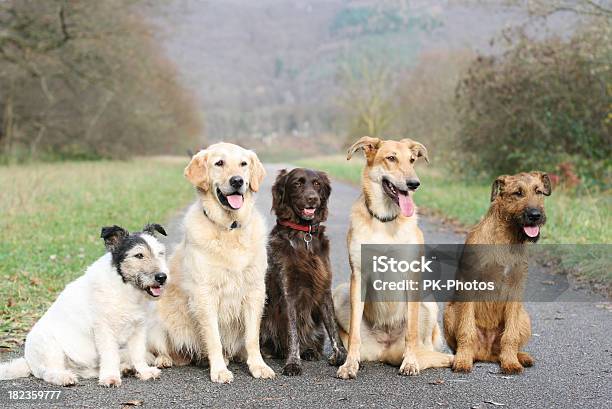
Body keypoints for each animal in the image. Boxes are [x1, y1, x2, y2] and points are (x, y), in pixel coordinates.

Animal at [147, 143, 274, 382]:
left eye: (243, 164)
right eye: (219, 163)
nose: (237, 181)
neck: (229, 228)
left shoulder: (254, 291)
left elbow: (252, 337)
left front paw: (258, 366)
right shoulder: (205, 294)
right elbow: (214, 338)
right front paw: (219, 371)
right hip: (158, 321)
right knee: (158, 349)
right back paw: (166, 359)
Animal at [332, 135, 452, 378]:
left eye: (412, 160)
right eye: (391, 158)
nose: (414, 183)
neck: (385, 220)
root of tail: (385, 350)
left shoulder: (412, 277)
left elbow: (411, 332)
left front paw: (411, 362)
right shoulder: (358, 276)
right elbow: (354, 335)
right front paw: (349, 364)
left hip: (428, 302)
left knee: (430, 348)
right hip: (340, 292)